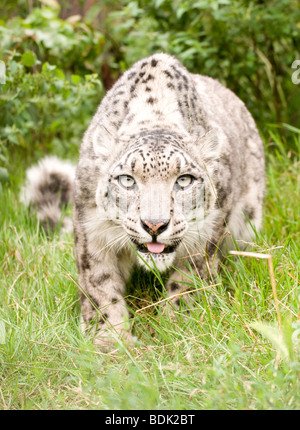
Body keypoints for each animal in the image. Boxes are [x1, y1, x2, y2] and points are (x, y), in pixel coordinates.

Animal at [21, 53, 264, 350]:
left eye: (184, 180)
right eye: (127, 180)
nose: (154, 225)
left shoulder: (207, 235)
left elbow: (188, 284)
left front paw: (178, 329)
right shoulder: (91, 231)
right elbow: (99, 284)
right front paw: (109, 340)